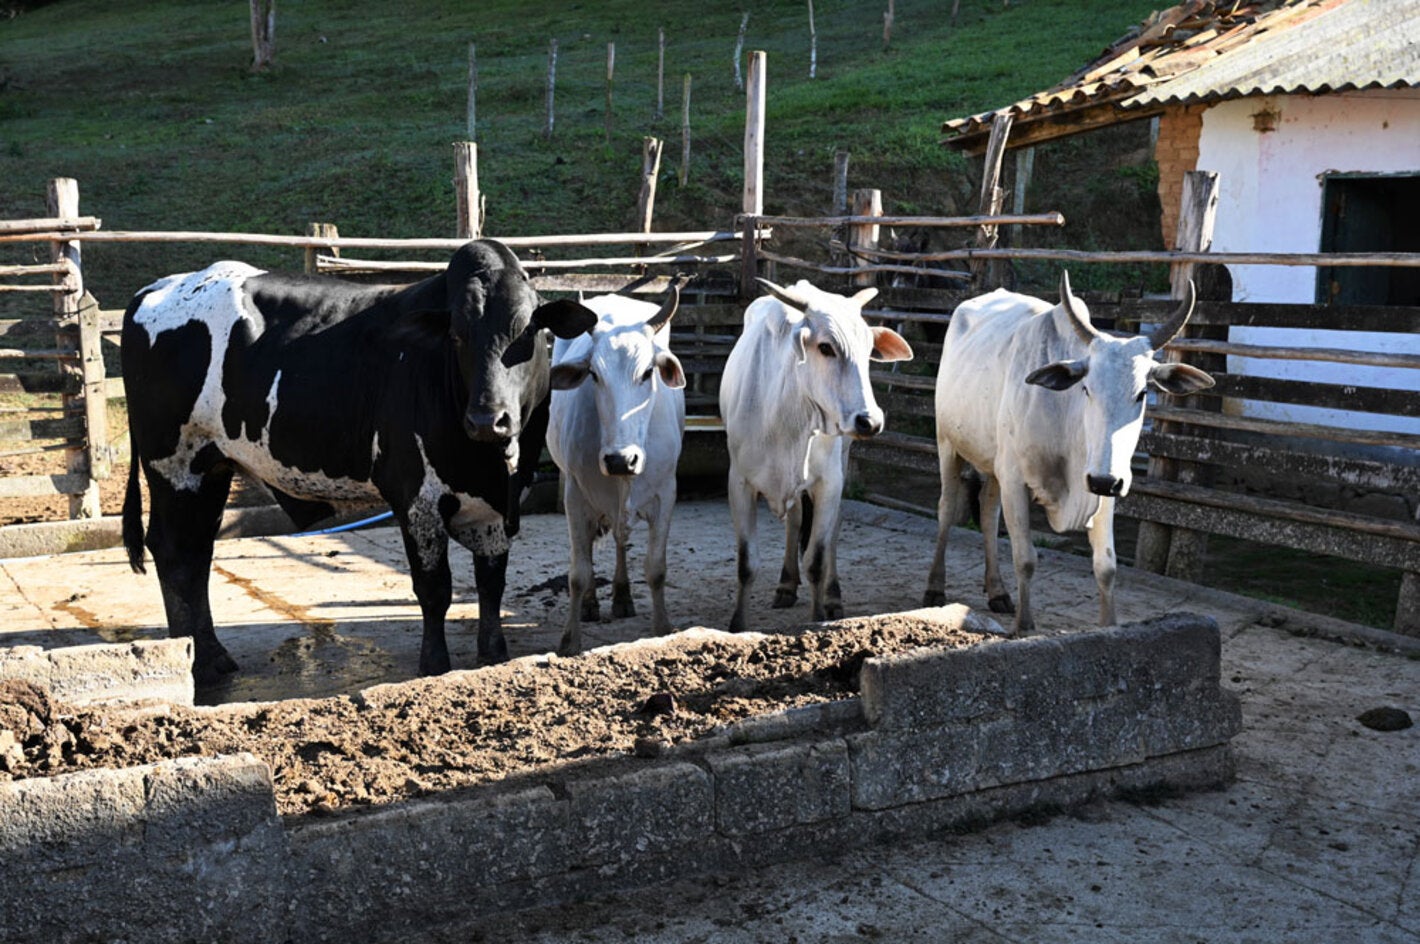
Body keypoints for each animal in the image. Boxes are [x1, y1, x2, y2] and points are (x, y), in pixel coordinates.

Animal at [115, 239, 593, 681]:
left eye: (528, 333)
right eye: (457, 336)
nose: (487, 419)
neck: (490, 464)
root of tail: (155, 289)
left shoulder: (498, 505)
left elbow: (491, 583)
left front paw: (493, 654)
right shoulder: (417, 497)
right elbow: (434, 588)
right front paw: (435, 664)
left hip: (211, 470)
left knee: (196, 554)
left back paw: (211, 655)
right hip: (174, 466)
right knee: (175, 552)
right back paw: (196, 660)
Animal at [545, 286, 684, 655]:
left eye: (648, 372)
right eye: (594, 374)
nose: (621, 459)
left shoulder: (666, 494)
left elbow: (656, 569)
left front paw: (662, 628)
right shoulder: (575, 497)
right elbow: (578, 573)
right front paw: (570, 639)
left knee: (622, 539)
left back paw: (622, 596)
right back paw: (594, 603)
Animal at [721, 279, 908, 633]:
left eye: (868, 351)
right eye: (825, 347)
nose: (870, 421)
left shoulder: (829, 483)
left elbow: (817, 560)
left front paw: (819, 615)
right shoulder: (739, 482)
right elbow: (746, 563)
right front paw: (737, 625)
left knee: (832, 529)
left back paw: (832, 596)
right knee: (794, 520)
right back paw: (785, 584)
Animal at [925, 272, 1215, 633]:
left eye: (1143, 393)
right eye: (1086, 388)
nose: (1104, 481)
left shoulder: (1104, 486)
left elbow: (1106, 566)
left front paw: (1109, 626)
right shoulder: (1016, 479)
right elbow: (1025, 558)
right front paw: (1025, 627)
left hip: (994, 465)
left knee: (989, 514)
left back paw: (998, 592)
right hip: (948, 443)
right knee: (947, 509)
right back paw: (935, 587)